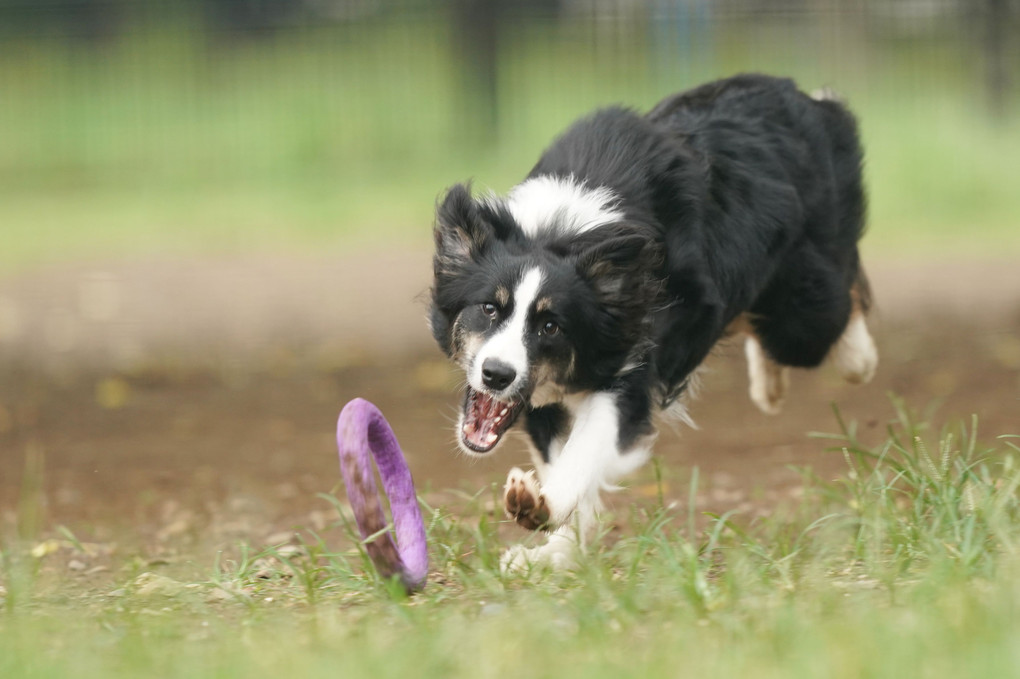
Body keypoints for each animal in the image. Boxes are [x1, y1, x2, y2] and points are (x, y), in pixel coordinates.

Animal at [426, 73, 881, 566]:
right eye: (489, 308)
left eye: (551, 326)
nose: (496, 375)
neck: (566, 233)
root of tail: (801, 95)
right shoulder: (543, 393)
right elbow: (558, 454)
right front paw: (560, 550)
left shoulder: (633, 361)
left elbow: (587, 446)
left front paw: (541, 506)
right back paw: (770, 385)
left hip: (803, 309)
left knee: (837, 306)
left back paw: (851, 362)